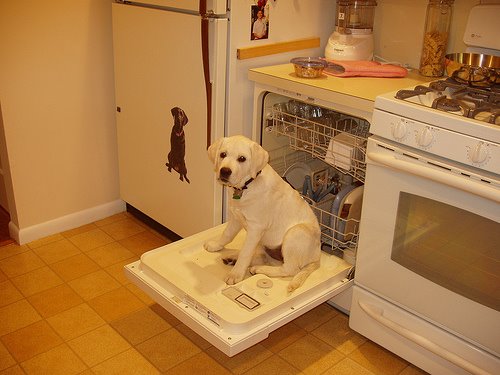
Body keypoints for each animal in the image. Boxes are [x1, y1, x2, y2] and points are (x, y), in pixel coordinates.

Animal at [203, 135, 320, 294]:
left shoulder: (255, 228)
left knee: (289, 269)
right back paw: (233, 258)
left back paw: (258, 269)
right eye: (222, 154)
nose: (225, 171)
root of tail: (318, 257)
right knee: (264, 257)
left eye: (242, 158)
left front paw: (235, 275)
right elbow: (227, 234)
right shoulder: (235, 217)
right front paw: (215, 245)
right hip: (266, 244)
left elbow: (245, 253)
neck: (247, 186)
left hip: (296, 232)